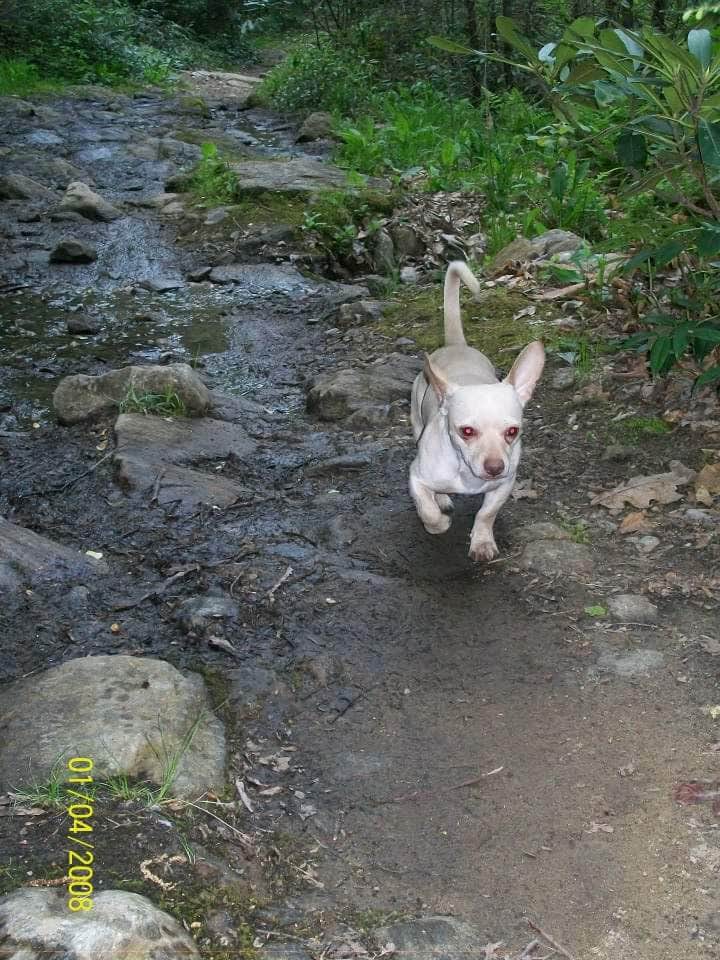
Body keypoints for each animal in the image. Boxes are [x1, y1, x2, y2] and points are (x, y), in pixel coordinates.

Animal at [410, 262, 544, 564]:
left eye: (513, 432)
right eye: (467, 431)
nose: (495, 467)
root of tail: (456, 344)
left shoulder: (504, 485)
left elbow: (486, 513)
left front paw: (481, 541)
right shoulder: (416, 478)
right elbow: (427, 509)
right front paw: (438, 523)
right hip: (416, 421)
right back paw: (442, 499)